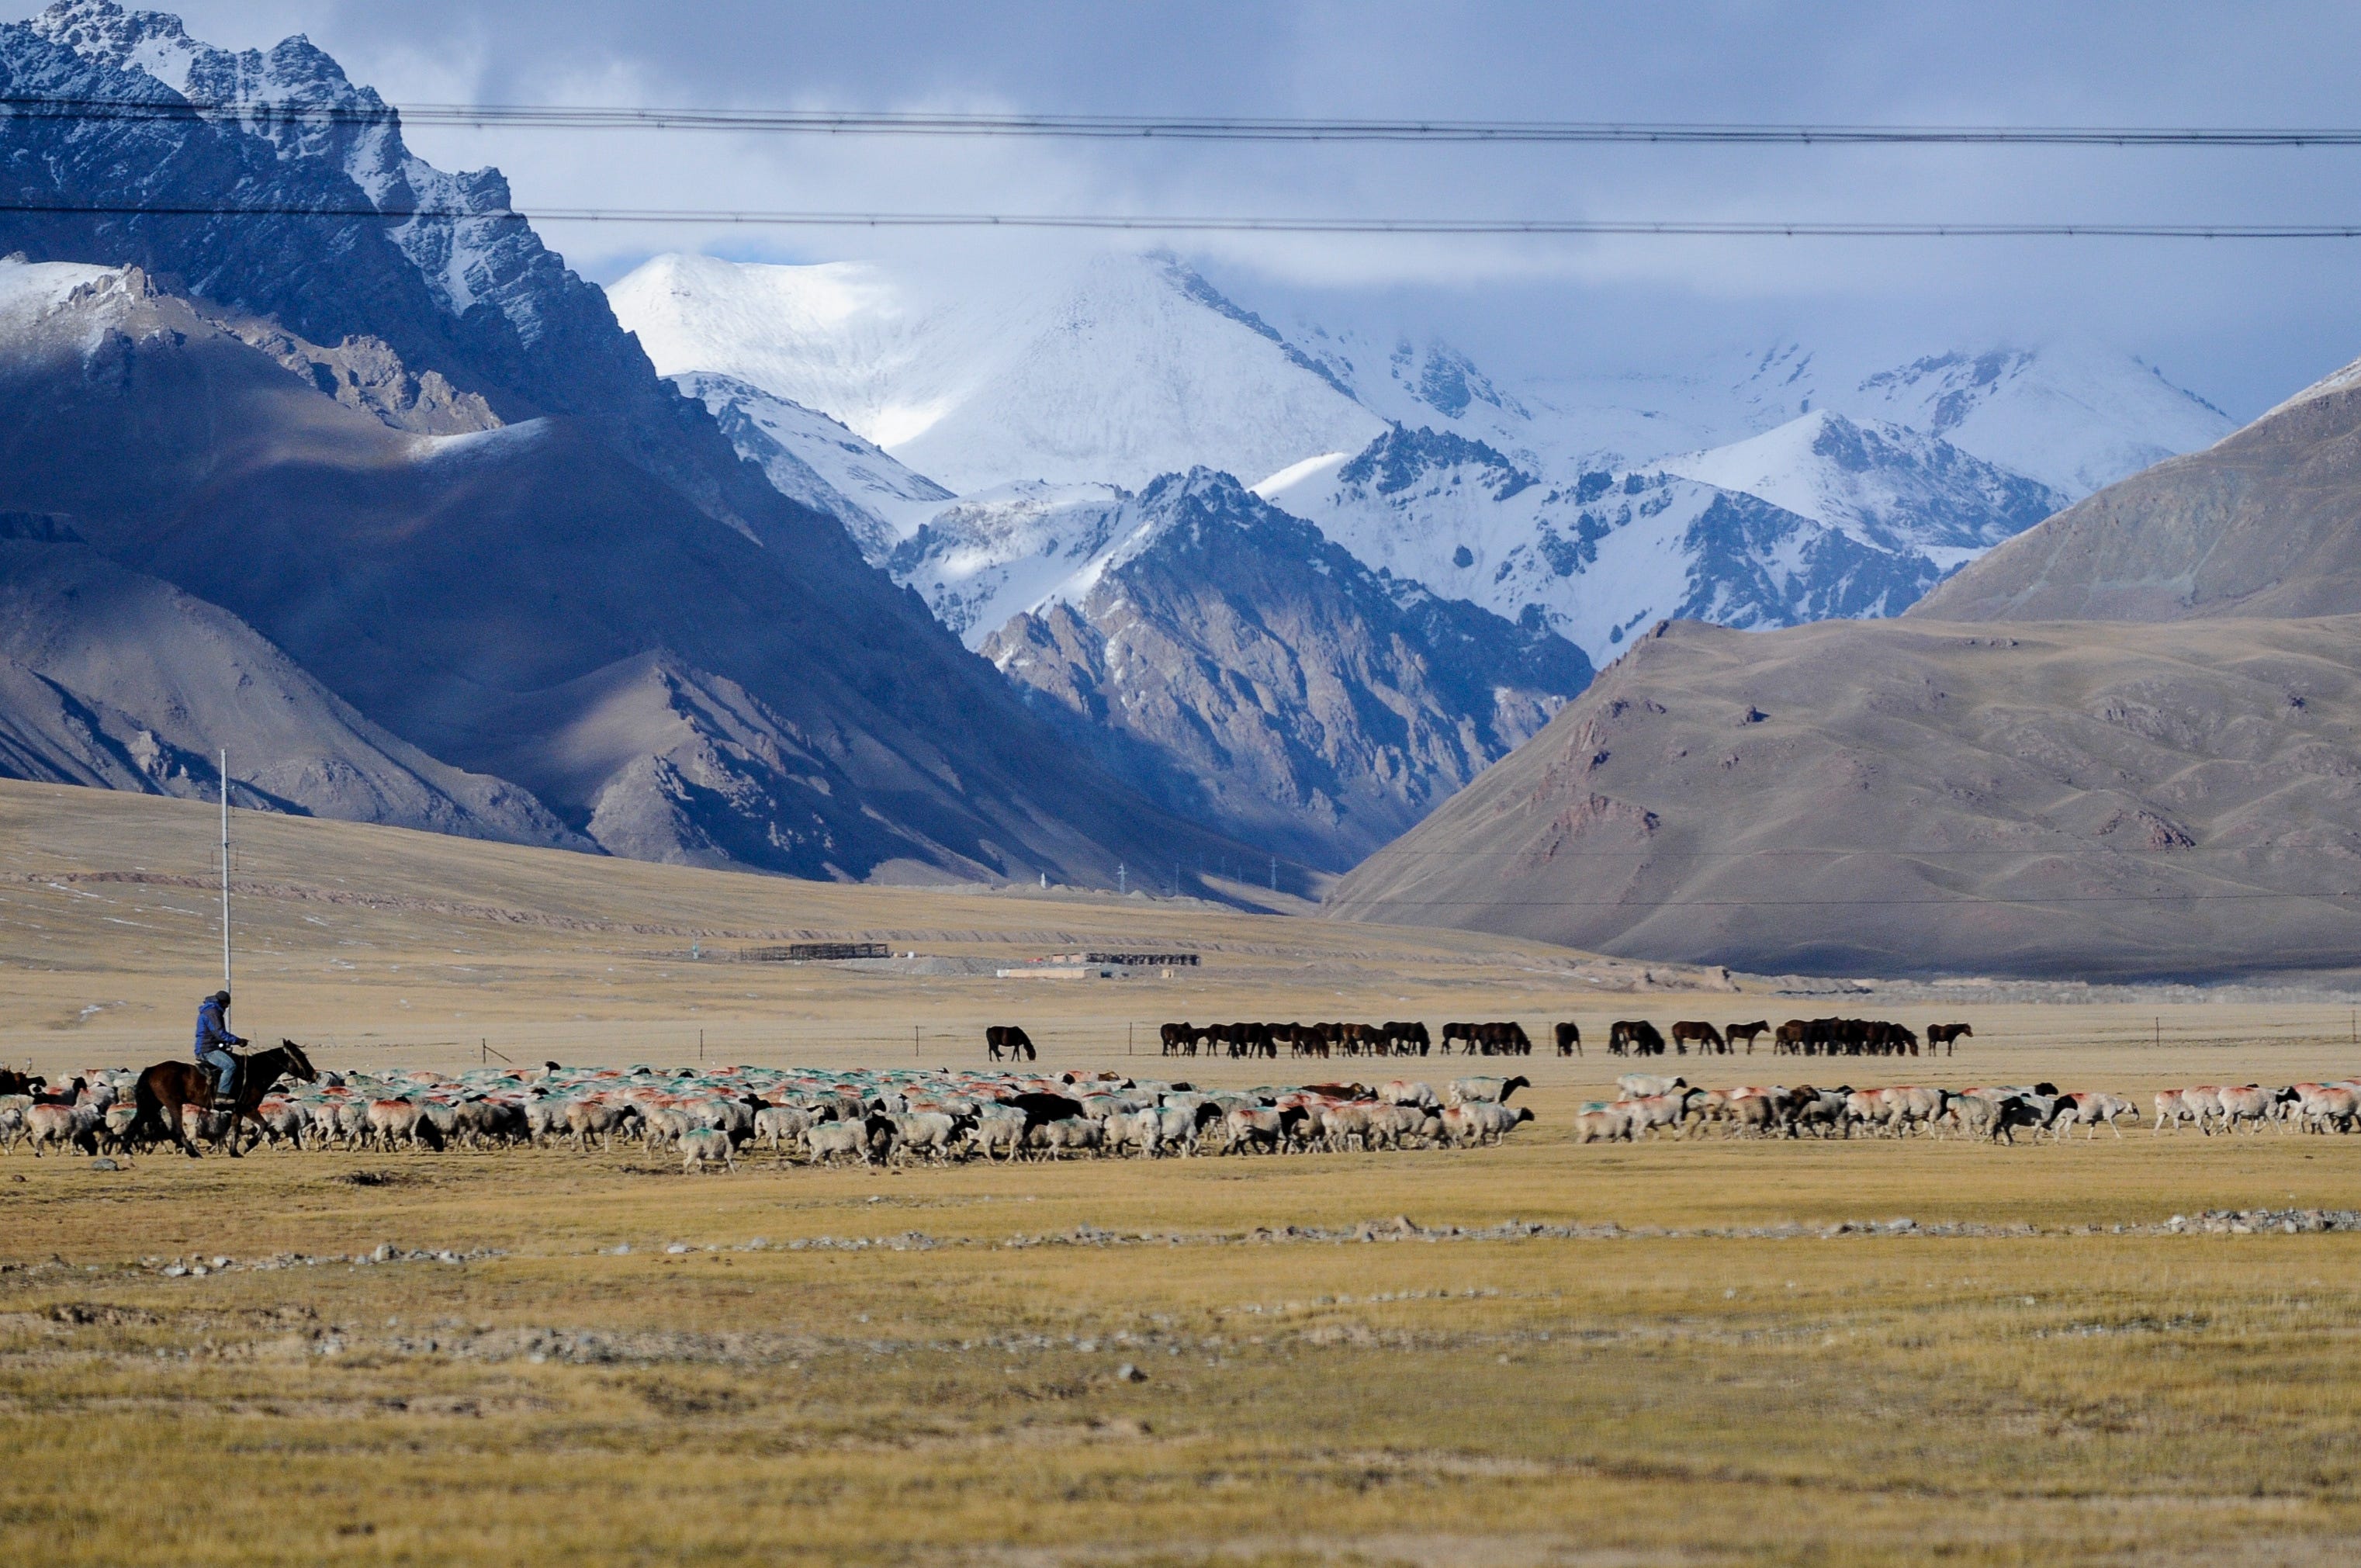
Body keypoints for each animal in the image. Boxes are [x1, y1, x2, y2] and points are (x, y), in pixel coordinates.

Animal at [128, 1034, 320, 1157]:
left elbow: (235, 1129)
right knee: (176, 1129)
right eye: (299, 1055)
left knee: (135, 1123)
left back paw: (127, 1150)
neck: (255, 1072)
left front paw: (235, 1152)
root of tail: (153, 1069)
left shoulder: (237, 1110)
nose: (314, 1075)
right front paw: (249, 1145)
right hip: (172, 1104)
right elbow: (263, 1124)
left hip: (152, 1104)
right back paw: (192, 1153)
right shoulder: (248, 1107)